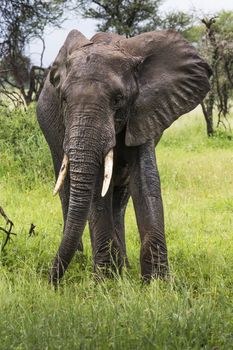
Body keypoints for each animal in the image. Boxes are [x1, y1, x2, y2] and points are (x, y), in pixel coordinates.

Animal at [36, 28, 211, 284]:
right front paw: (105, 282)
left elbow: (146, 180)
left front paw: (157, 283)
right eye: (64, 99)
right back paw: (86, 261)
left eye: (118, 99)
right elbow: (96, 190)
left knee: (120, 197)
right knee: (68, 189)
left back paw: (122, 266)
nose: (51, 282)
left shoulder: (144, 111)